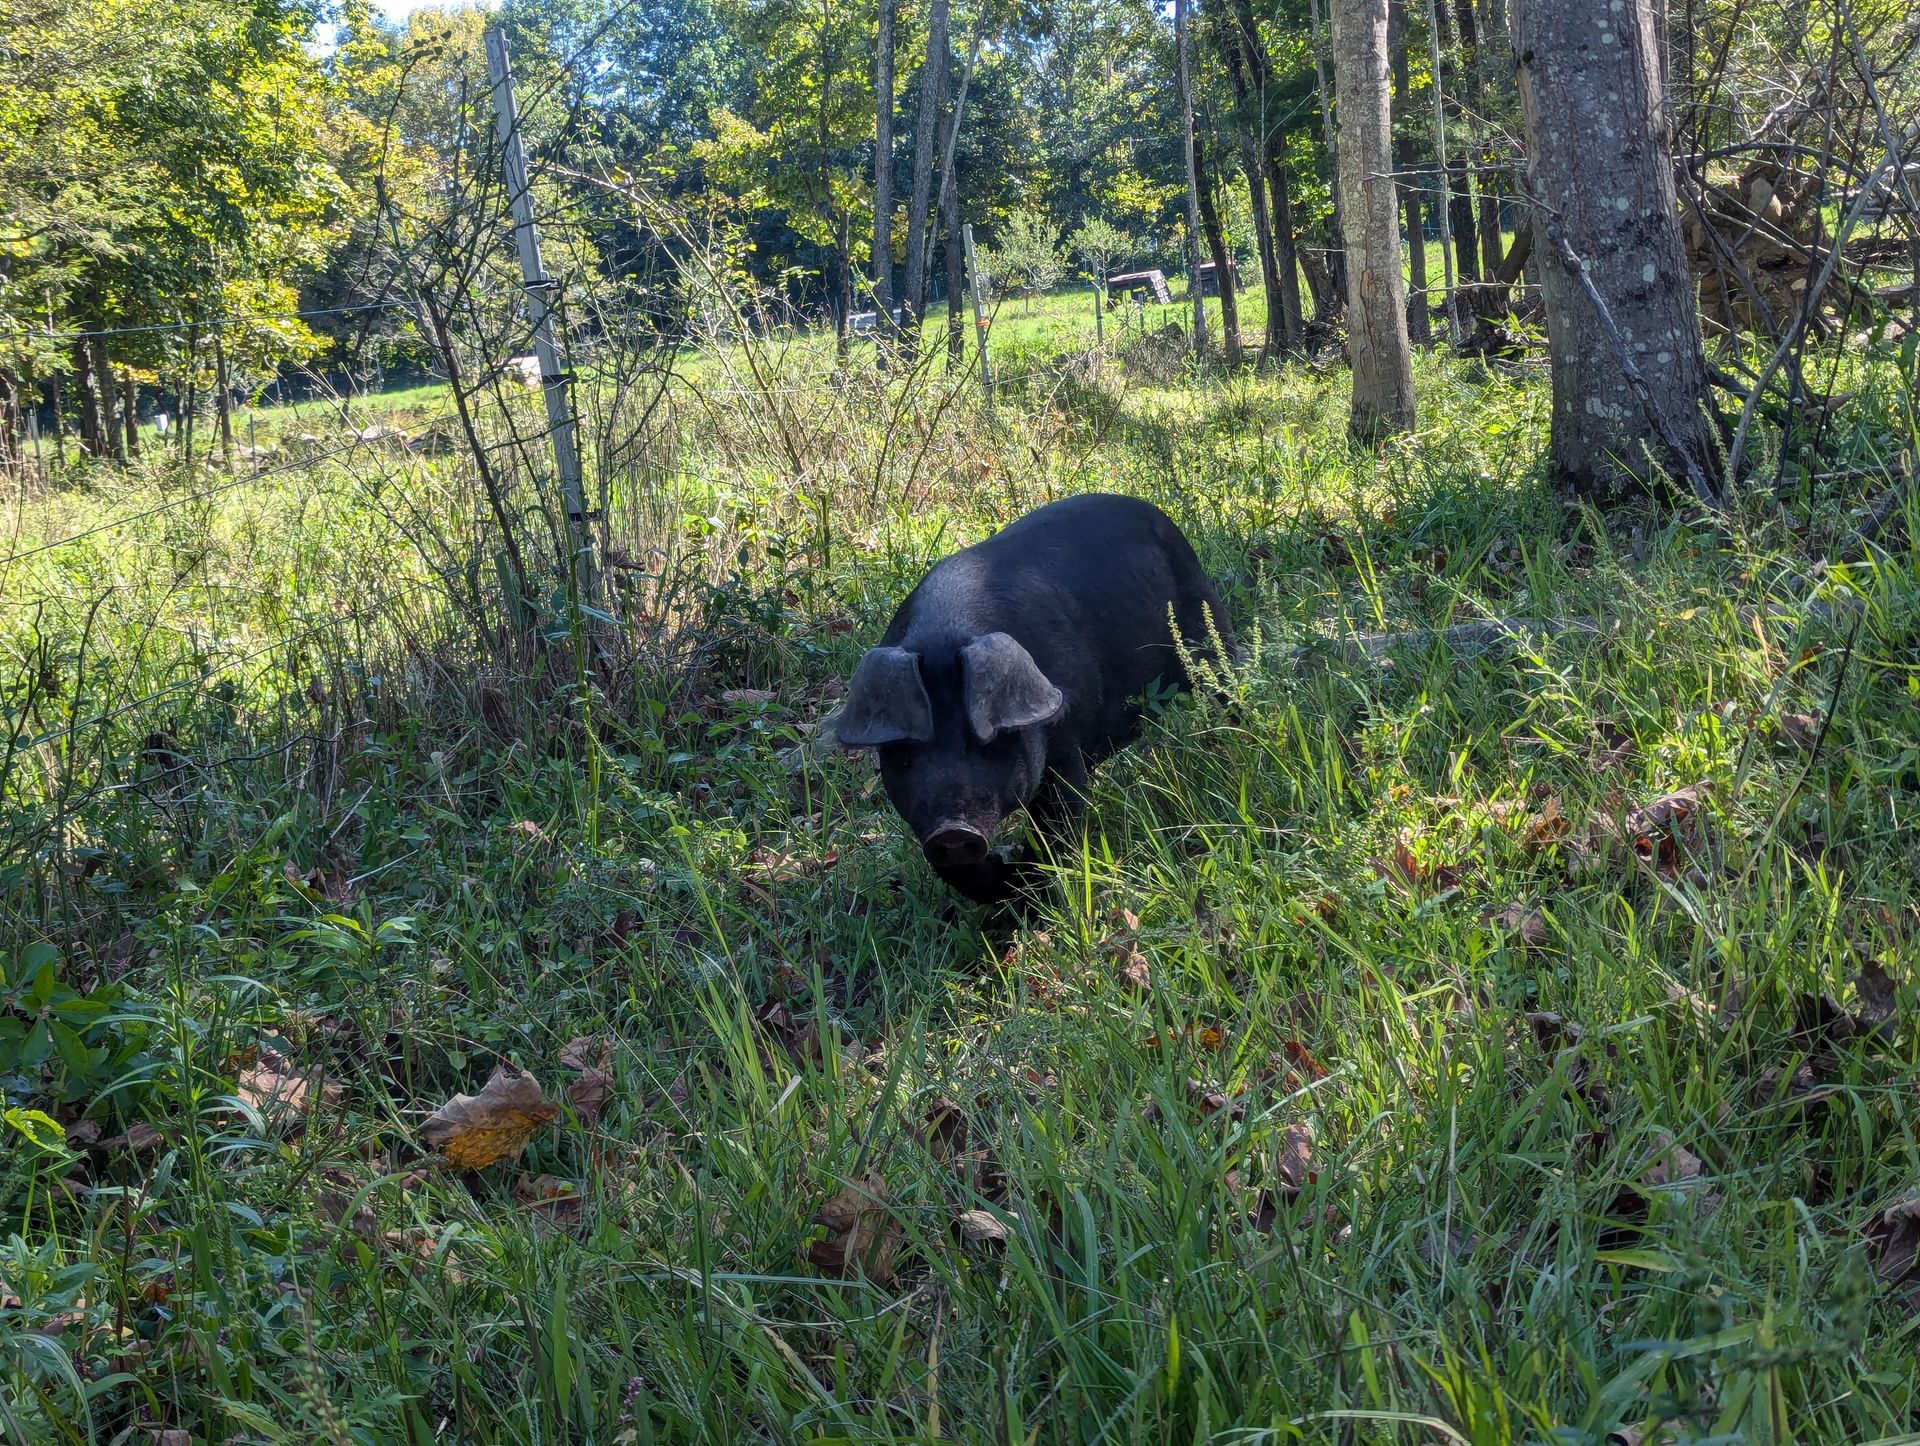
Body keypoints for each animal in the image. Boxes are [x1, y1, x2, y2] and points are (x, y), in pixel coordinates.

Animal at [830, 492, 1231, 904]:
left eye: (990, 743)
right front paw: (1008, 881)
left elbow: (1058, 824)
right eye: (906, 754)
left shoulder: (1065, 740)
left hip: (1205, 620)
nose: (953, 831)